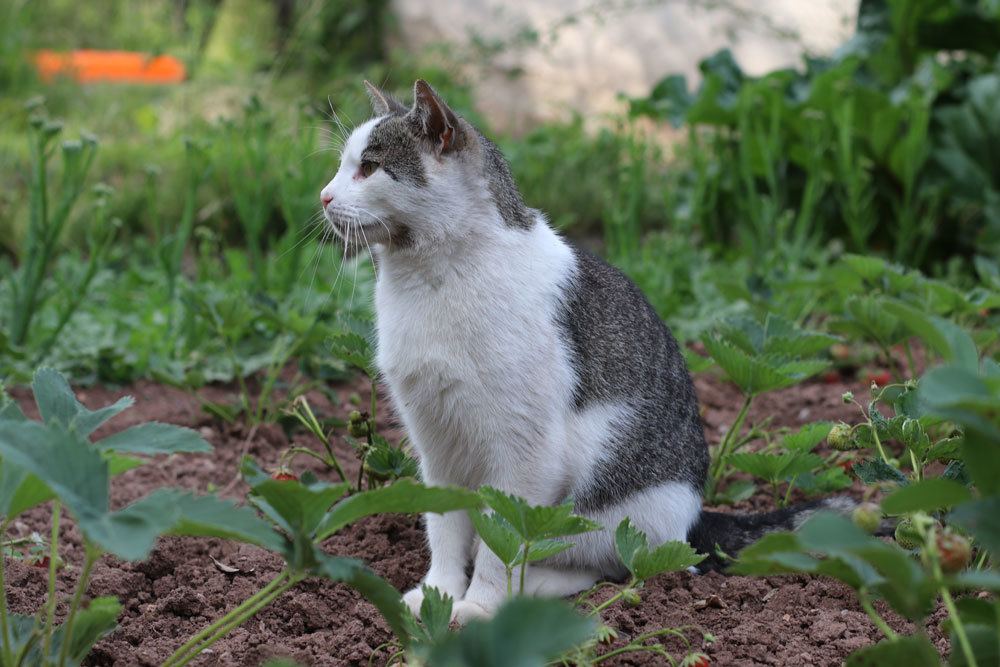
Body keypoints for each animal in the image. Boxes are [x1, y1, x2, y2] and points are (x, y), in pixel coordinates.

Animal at [320, 81, 852, 624]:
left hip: (611, 504)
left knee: (604, 563)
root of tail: (695, 517)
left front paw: (480, 608)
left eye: (369, 167)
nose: (324, 196)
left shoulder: (524, 452)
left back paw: (535, 587)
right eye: (342, 165)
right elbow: (445, 526)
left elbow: (502, 541)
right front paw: (438, 593)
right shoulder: (435, 442)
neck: (431, 278)